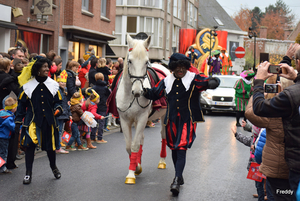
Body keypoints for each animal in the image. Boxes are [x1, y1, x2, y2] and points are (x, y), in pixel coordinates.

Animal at [115, 34, 170, 184]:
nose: (138, 92)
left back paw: (162, 161)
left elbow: (134, 145)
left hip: (163, 117)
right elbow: (129, 146)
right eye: (130, 61)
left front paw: (131, 174)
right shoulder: (125, 120)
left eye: (146, 62)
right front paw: (136, 167)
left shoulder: (142, 118)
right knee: (141, 139)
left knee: (163, 136)